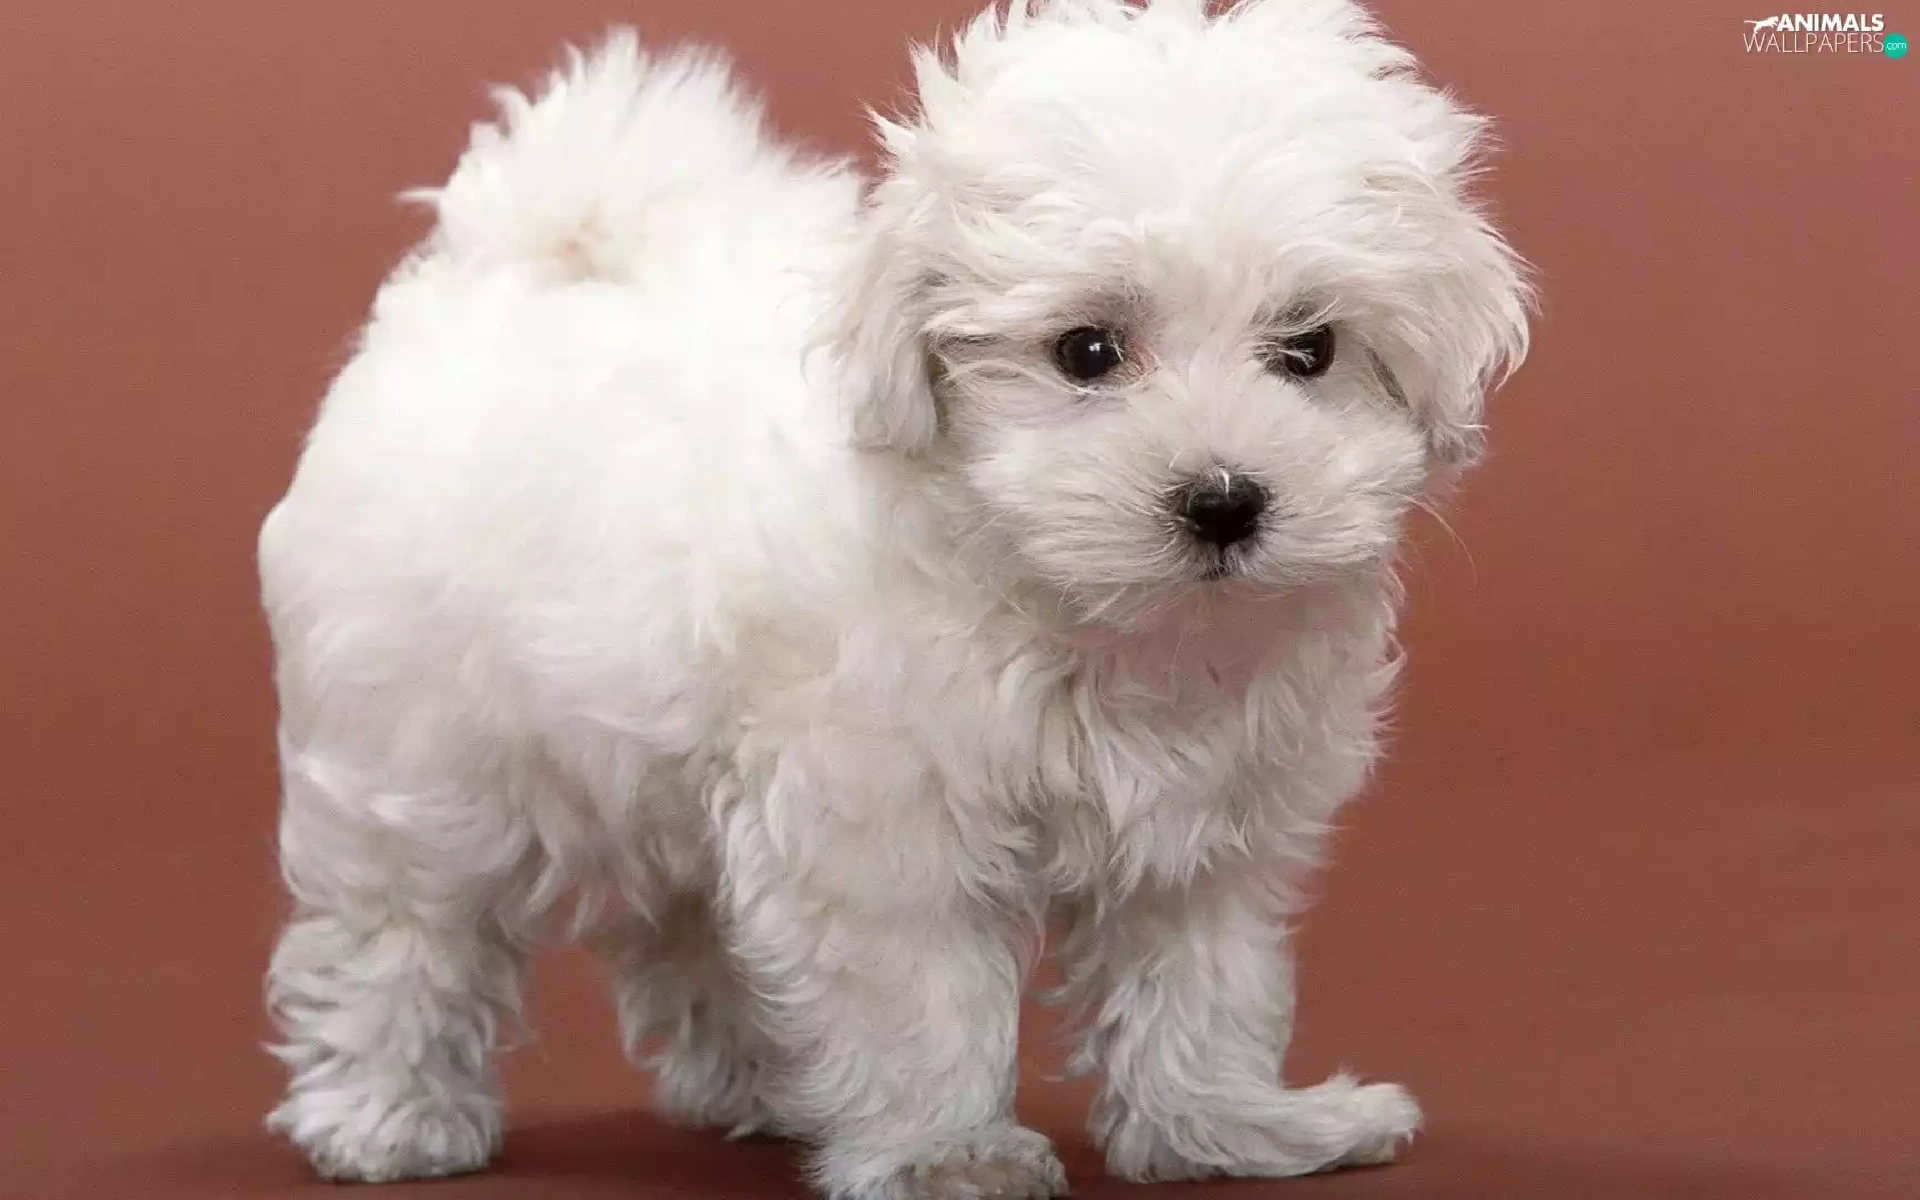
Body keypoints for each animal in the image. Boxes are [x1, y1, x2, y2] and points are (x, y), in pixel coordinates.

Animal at [258, 2, 1529, 1196]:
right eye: (1087, 350)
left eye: (1310, 348)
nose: (1223, 501)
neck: (1085, 610)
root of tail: (500, 267)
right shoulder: (883, 816)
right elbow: (920, 988)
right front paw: (945, 1152)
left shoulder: (1211, 820)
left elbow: (1201, 979)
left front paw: (1229, 1128)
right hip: (412, 748)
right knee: (399, 926)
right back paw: (390, 1115)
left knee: (692, 922)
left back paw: (766, 1084)